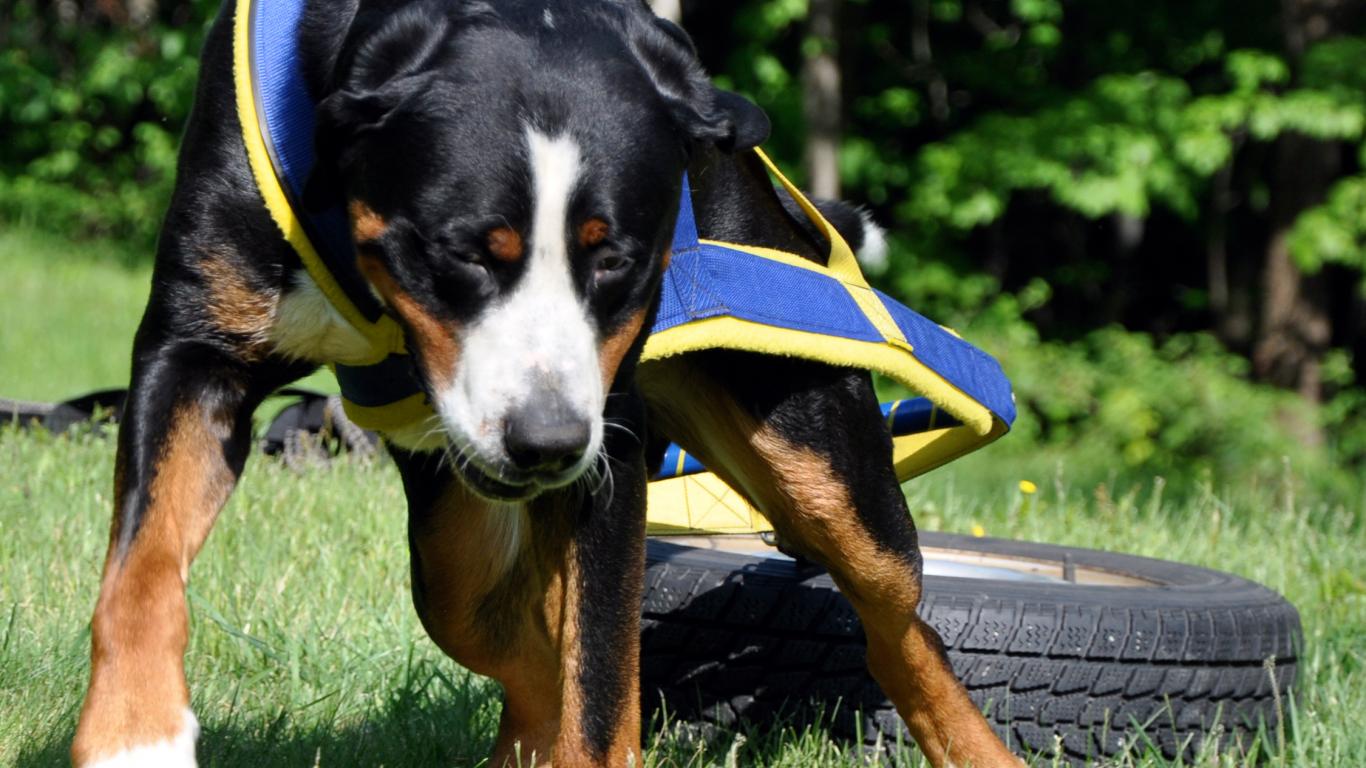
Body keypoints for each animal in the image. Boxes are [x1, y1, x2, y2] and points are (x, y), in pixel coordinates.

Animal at [72, 1, 1021, 766]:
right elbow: (140, 568)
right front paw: (133, 733)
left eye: (617, 261)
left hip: (828, 470)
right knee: (490, 617)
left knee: (900, 630)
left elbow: (596, 680)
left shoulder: (614, 440)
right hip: (453, 520)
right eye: (464, 251)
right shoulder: (193, 355)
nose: (547, 441)